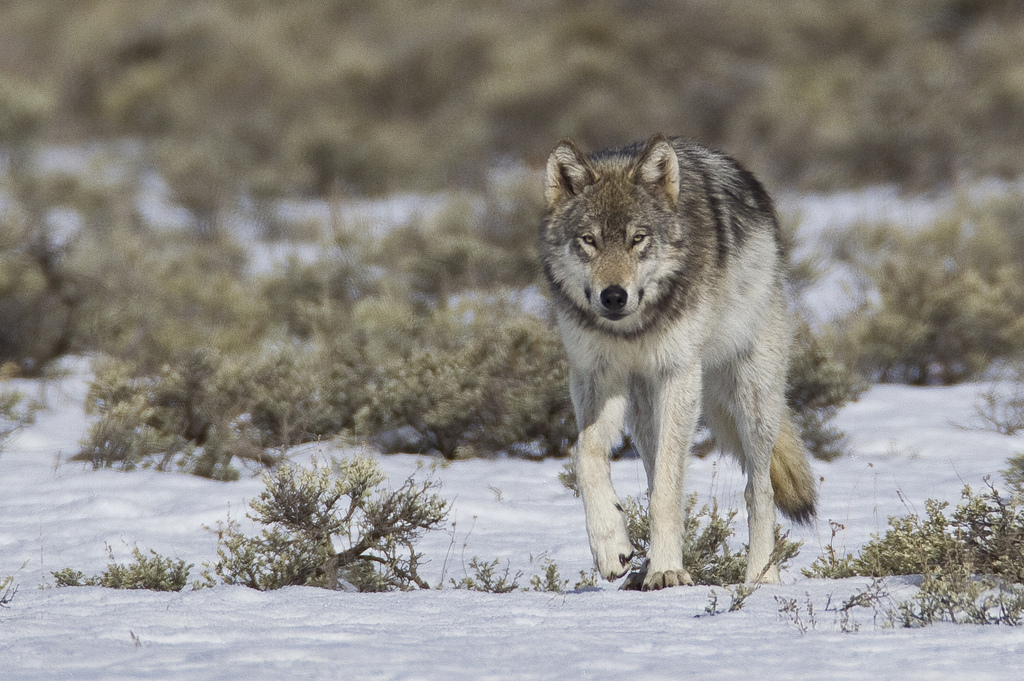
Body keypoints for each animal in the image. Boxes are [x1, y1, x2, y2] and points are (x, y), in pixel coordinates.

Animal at [536, 134, 815, 589]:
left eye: (638, 238)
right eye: (589, 240)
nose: (614, 296)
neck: (632, 330)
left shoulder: (679, 374)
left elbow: (668, 488)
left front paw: (667, 570)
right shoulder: (595, 376)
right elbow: (587, 454)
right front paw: (611, 546)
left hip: (752, 398)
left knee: (759, 490)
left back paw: (760, 578)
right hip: (643, 409)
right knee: (651, 470)